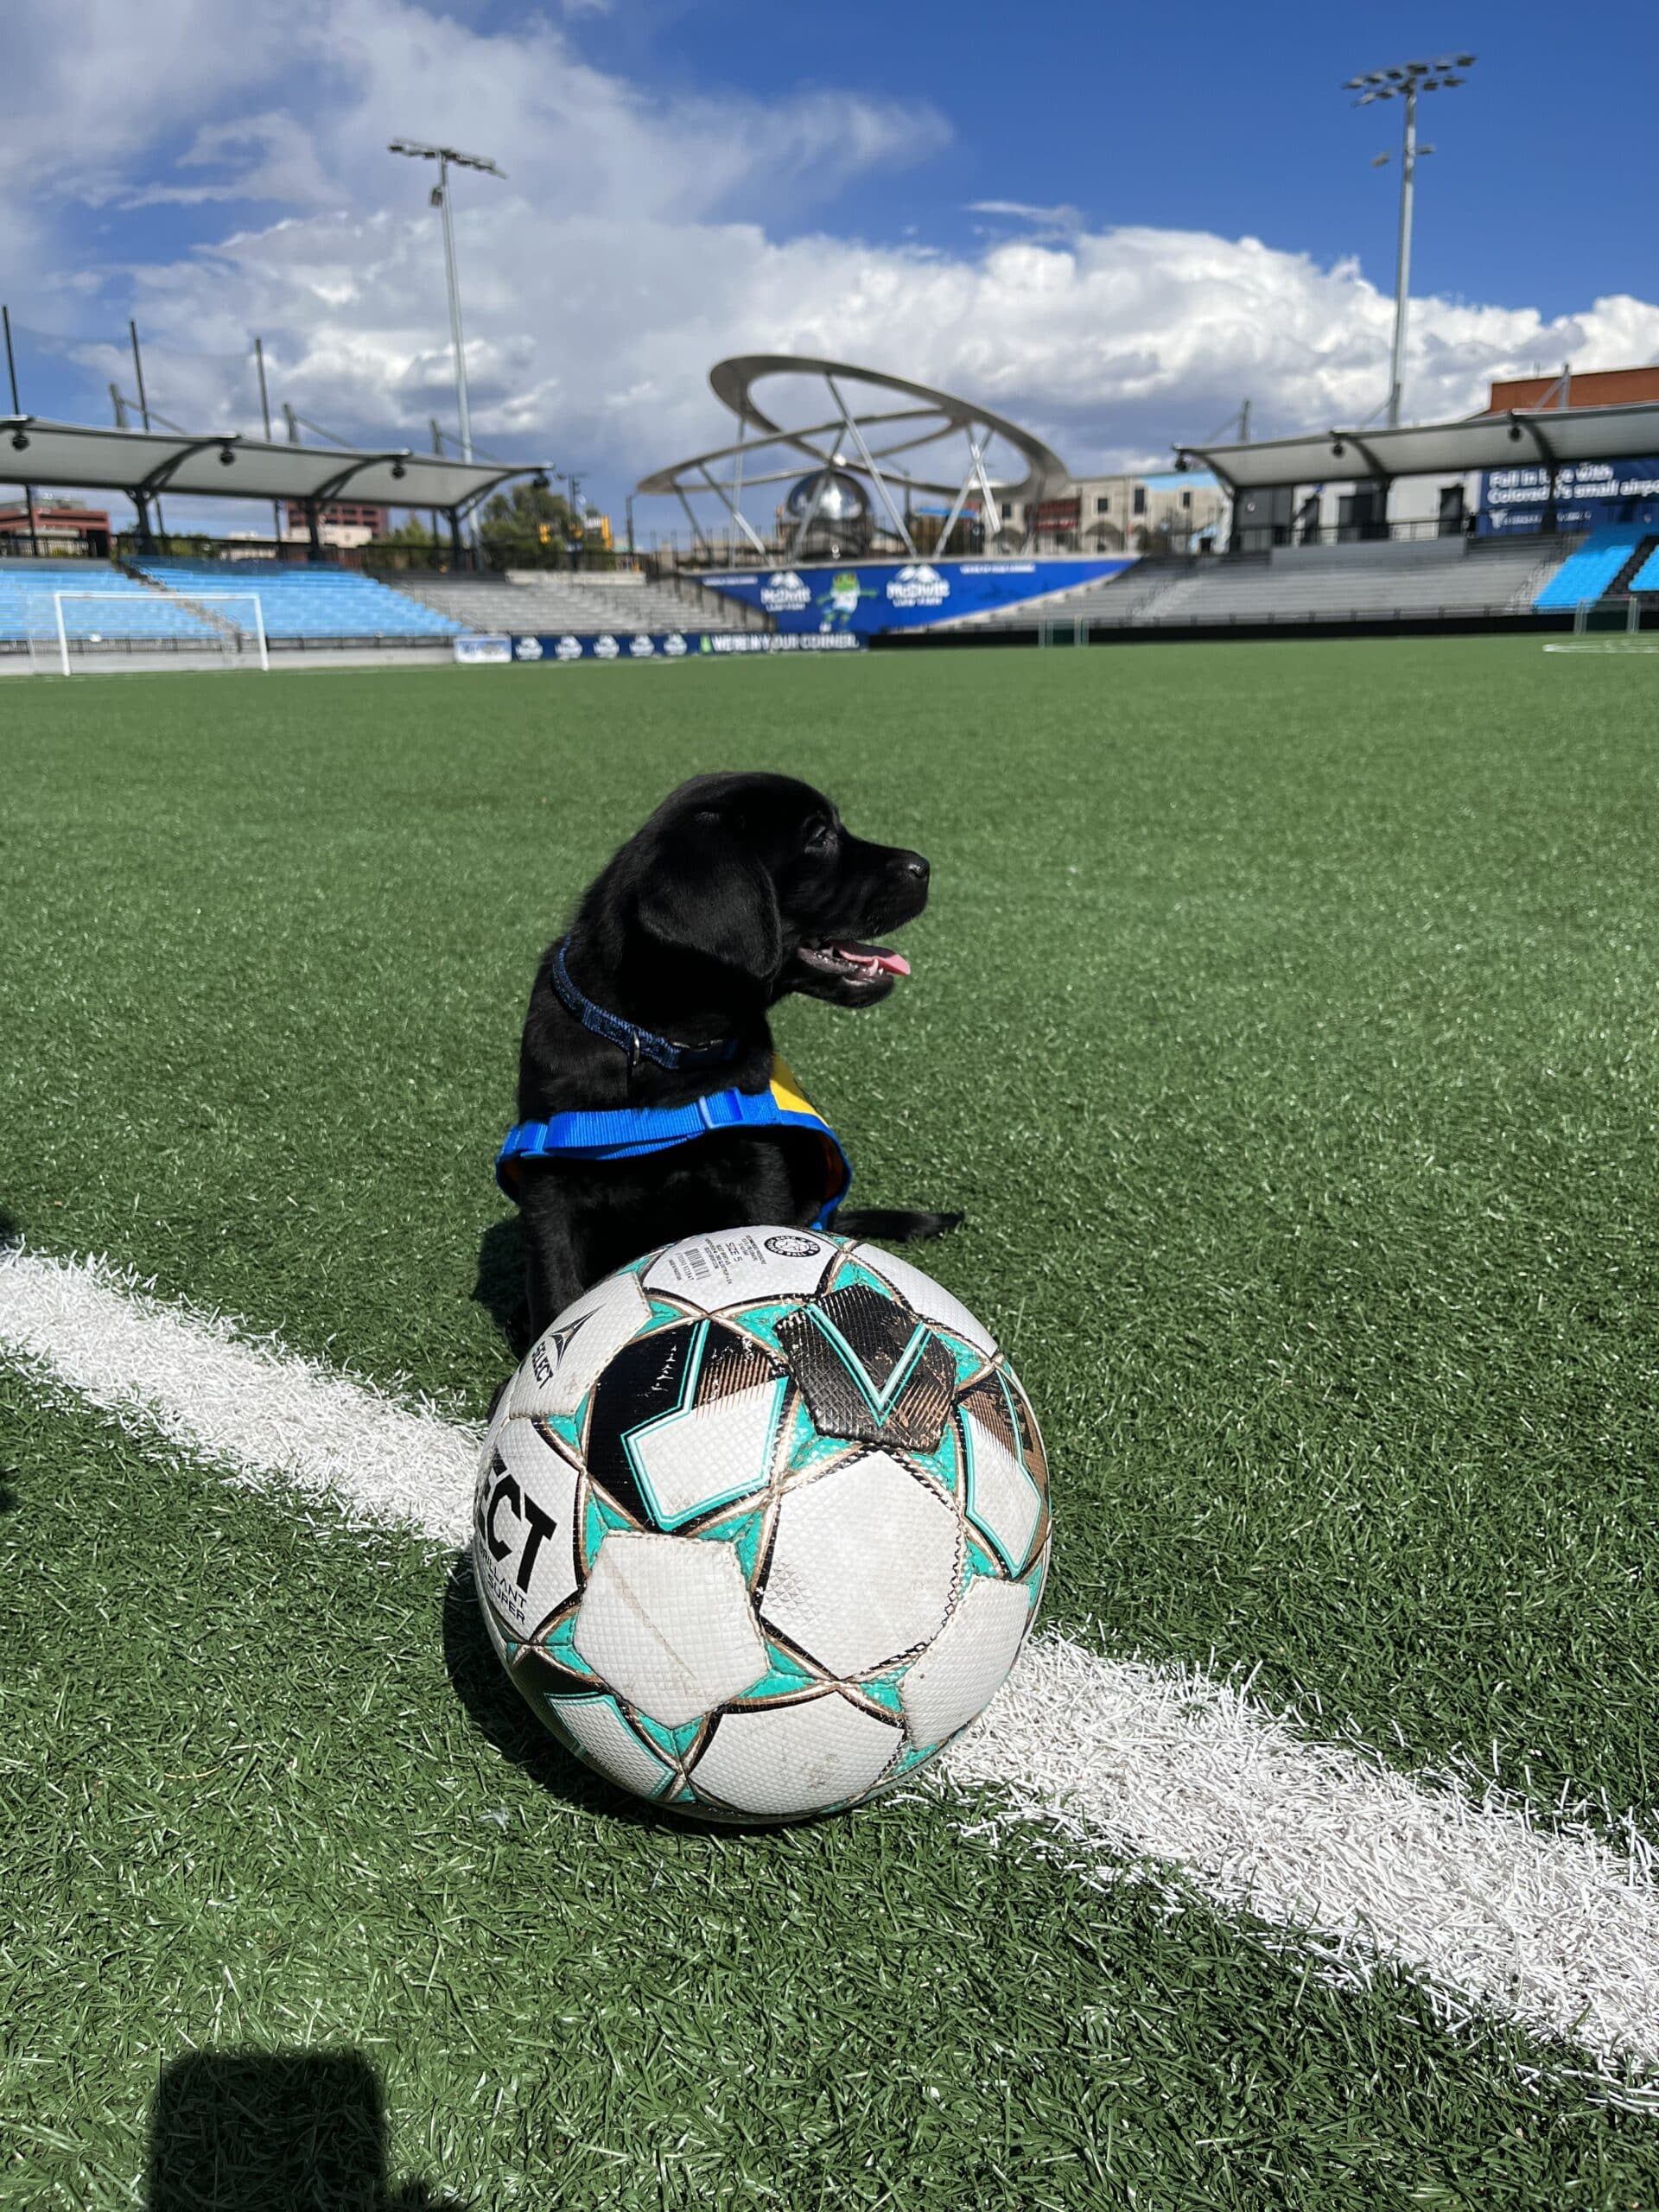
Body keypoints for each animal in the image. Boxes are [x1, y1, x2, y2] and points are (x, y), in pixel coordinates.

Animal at [499, 769, 955, 1336]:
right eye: (819, 836)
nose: (925, 866)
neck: (657, 1043)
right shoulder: (549, 1182)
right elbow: (555, 1284)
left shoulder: (758, 1168)